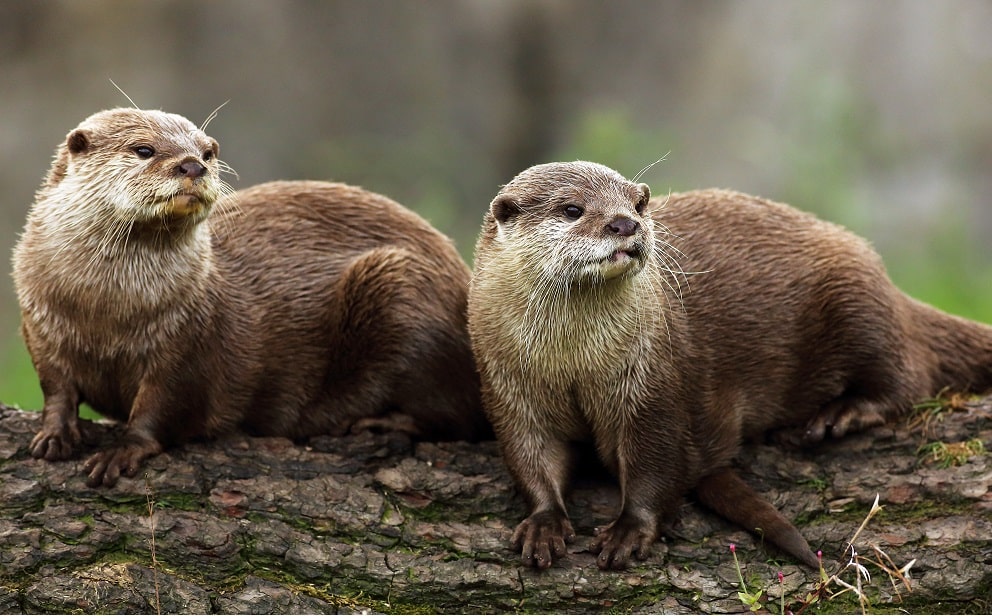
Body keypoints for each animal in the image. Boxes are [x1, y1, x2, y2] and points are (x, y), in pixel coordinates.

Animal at [11, 108, 492, 488]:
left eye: (207, 152)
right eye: (144, 149)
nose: (192, 166)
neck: (106, 312)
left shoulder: (190, 340)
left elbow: (162, 405)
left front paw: (122, 450)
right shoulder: (38, 320)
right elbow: (55, 386)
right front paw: (54, 434)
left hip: (403, 288)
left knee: (459, 417)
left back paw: (372, 422)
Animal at [466, 161, 992, 572]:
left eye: (638, 204)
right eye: (572, 209)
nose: (624, 224)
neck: (575, 362)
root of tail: (890, 286)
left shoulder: (654, 381)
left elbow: (656, 462)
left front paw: (629, 532)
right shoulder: (507, 384)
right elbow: (530, 455)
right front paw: (544, 524)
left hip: (858, 301)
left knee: (909, 374)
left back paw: (838, 416)